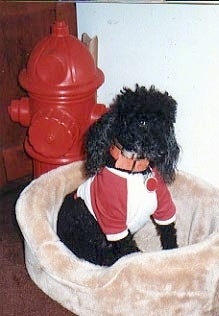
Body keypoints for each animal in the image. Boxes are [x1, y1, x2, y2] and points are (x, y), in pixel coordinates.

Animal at [57, 84, 181, 266]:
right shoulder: (114, 223)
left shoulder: (163, 207)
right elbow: (131, 253)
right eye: (142, 122)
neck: (135, 172)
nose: (164, 151)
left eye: (166, 122)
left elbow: (169, 233)